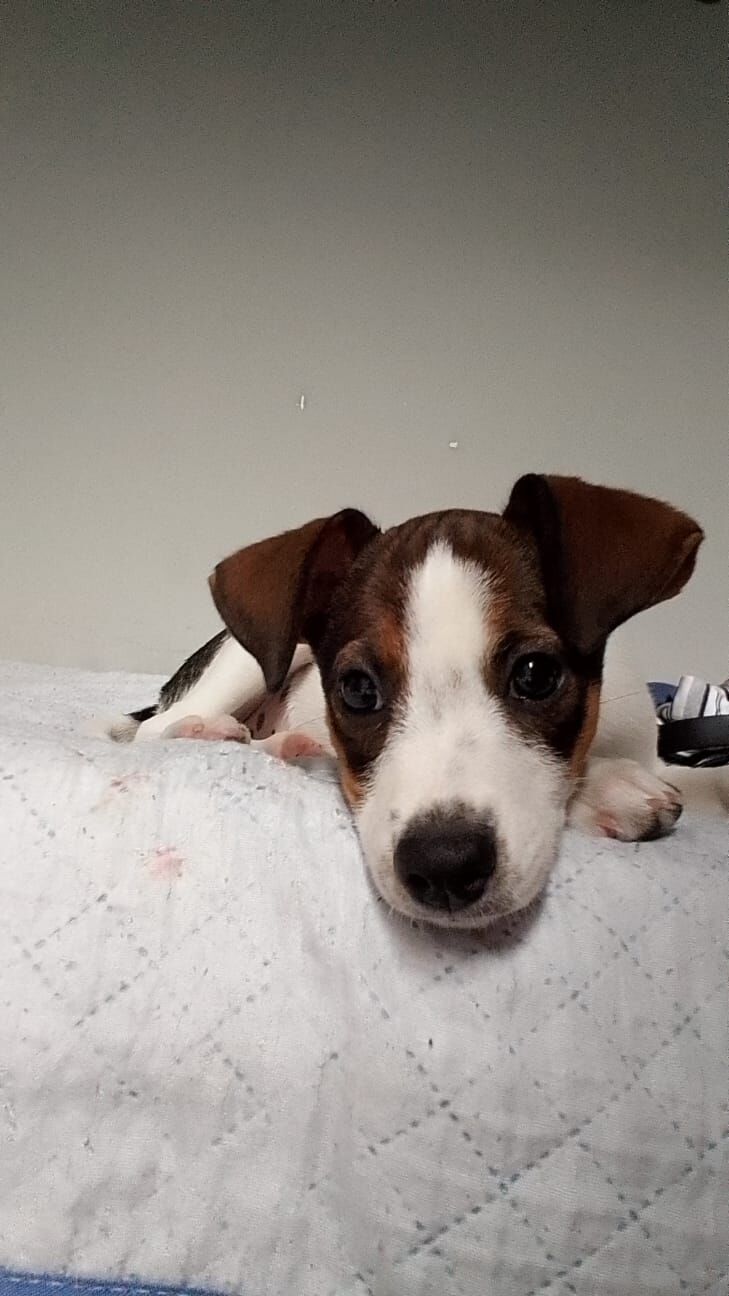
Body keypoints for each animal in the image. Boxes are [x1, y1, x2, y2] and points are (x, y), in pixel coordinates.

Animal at [102, 473, 710, 929]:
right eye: (358, 689)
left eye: (537, 675)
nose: (445, 868)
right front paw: (612, 787)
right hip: (255, 657)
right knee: (158, 726)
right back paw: (215, 730)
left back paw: (289, 744)